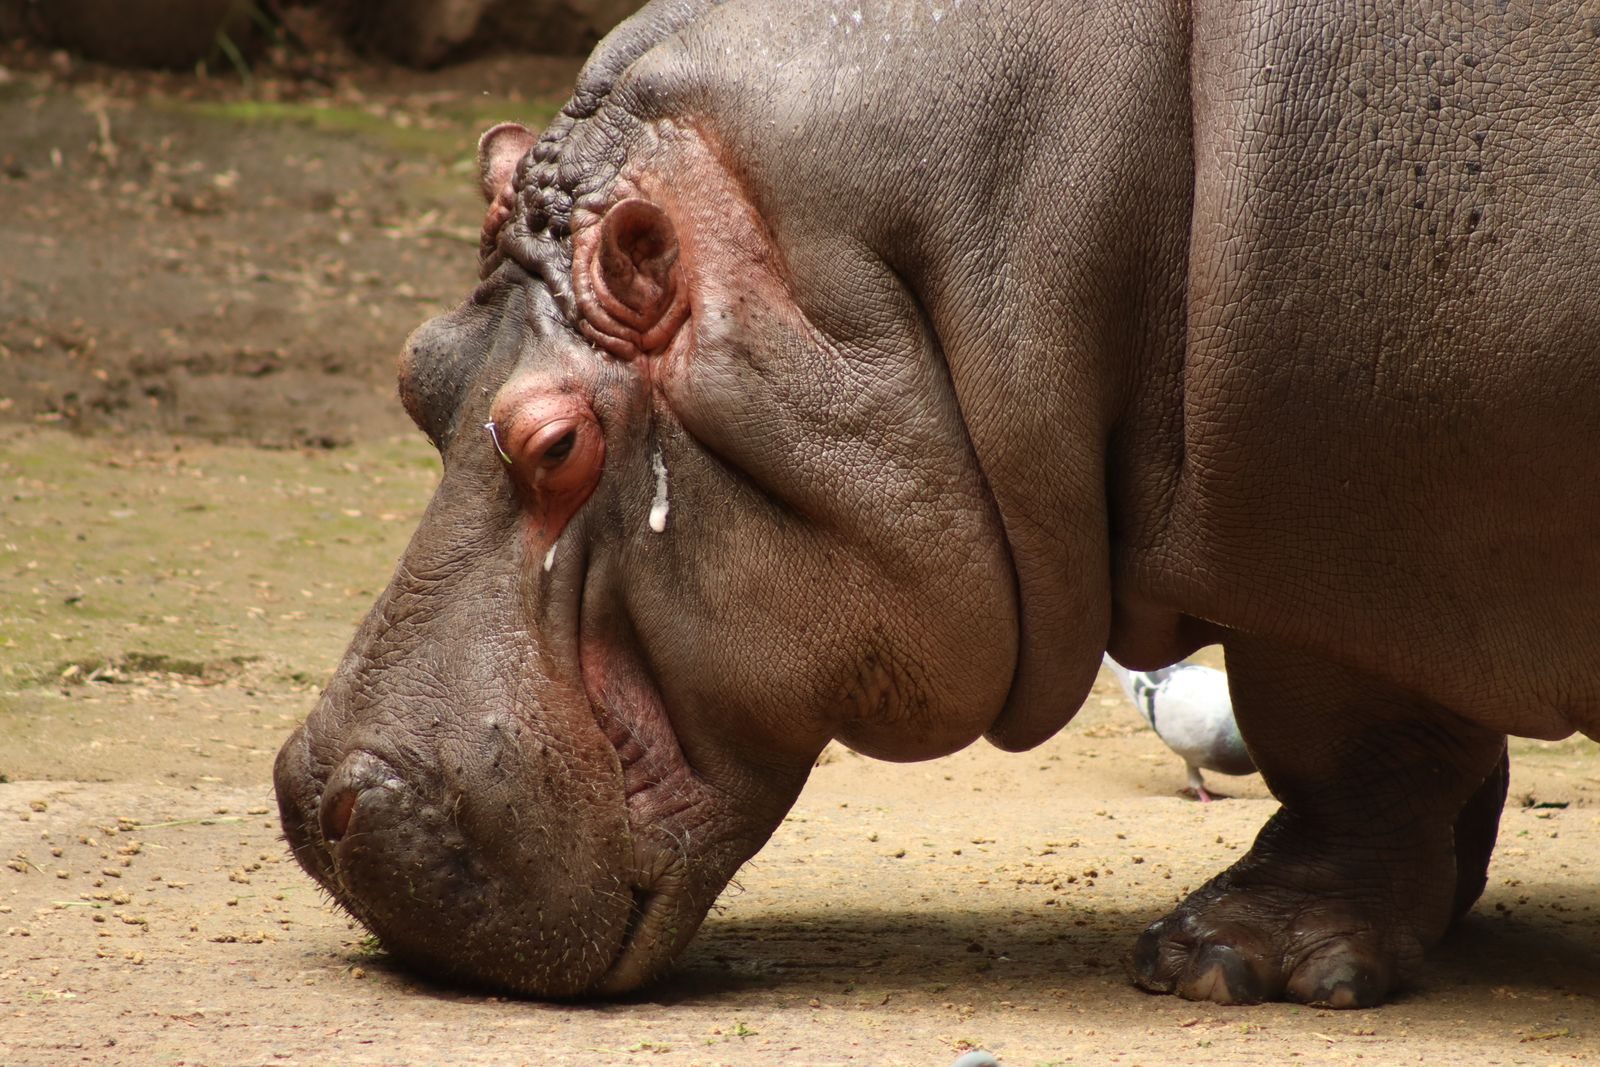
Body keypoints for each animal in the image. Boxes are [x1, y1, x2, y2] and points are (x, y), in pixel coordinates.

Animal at [274, 0, 1600, 1007]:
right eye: (414, 366)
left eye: (554, 443)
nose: (306, 797)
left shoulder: (1332, 529)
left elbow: (1347, 742)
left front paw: (1221, 961)